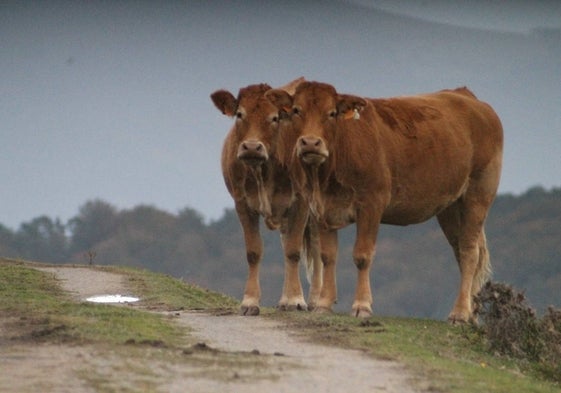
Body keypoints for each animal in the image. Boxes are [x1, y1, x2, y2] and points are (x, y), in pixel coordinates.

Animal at [210, 79, 322, 316]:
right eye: (240, 114)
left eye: (274, 118)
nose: (252, 147)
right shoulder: (242, 203)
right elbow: (254, 251)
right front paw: (250, 302)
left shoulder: (300, 202)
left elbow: (293, 252)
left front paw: (296, 300)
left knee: (316, 248)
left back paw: (315, 300)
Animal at [266, 80, 504, 322]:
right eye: (297, 110)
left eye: (332, 113)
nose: (311, 143)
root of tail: (467, 96)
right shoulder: (323, 208)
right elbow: (328, 256)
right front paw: (324, 304)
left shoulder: (372, 203)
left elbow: (362, 255)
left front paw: (362, 306)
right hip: (450, 207)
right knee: (461, 250)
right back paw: (471, 314)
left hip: (478, 194)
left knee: (469, 252)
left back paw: (460, 313)